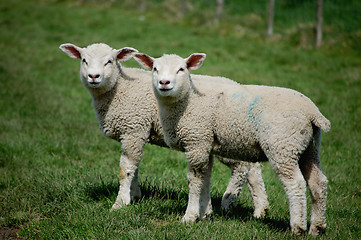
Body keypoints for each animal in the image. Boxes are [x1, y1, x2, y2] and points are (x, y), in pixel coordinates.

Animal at [57, 42, 268, 218]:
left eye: (110, 61)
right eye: (84, 60)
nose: (93, 76)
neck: (118, 88)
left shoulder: (134, 128)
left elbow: (125, 168)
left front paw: (120, 203)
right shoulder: (136, 132)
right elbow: (135, 166)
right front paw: (135, 196)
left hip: (228, 137)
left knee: (241, 168)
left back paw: (228, 203)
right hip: (241, 136)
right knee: (253, 168)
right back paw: (260, 210)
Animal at [132, 51, 330, 235]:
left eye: (181, 69)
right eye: (155, 69)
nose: (164, 83)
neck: (187, 101)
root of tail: (312, 112)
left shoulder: (197, 142)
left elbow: (194, 180)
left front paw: (190, 216)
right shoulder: (206, 144)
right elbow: (206, 179)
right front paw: (205, 214)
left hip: (283, 146)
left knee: (295, 184)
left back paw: (297, 227)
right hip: (309, 147)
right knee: (318, 183)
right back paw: (316, 228)